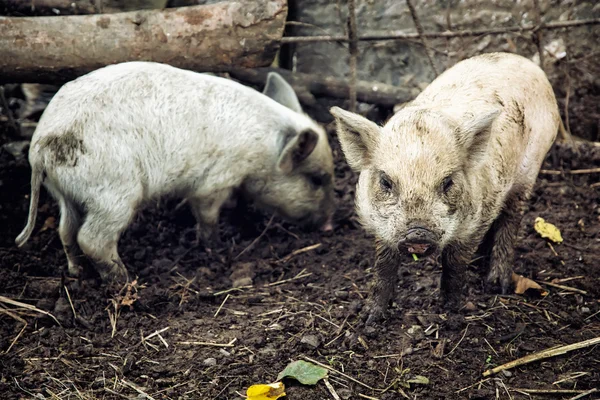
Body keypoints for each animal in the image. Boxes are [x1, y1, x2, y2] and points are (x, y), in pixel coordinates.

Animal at [330, 51, 560, 324]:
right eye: (386, 181)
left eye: (448, 181)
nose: (417, 233)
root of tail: (528, 63)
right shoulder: (382, 225)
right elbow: (384, 265)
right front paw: (369, 318)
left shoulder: (475, 221)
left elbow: (454, 264)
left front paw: (451, 311)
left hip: (530, 168)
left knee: (511, 218)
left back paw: (496, 285)